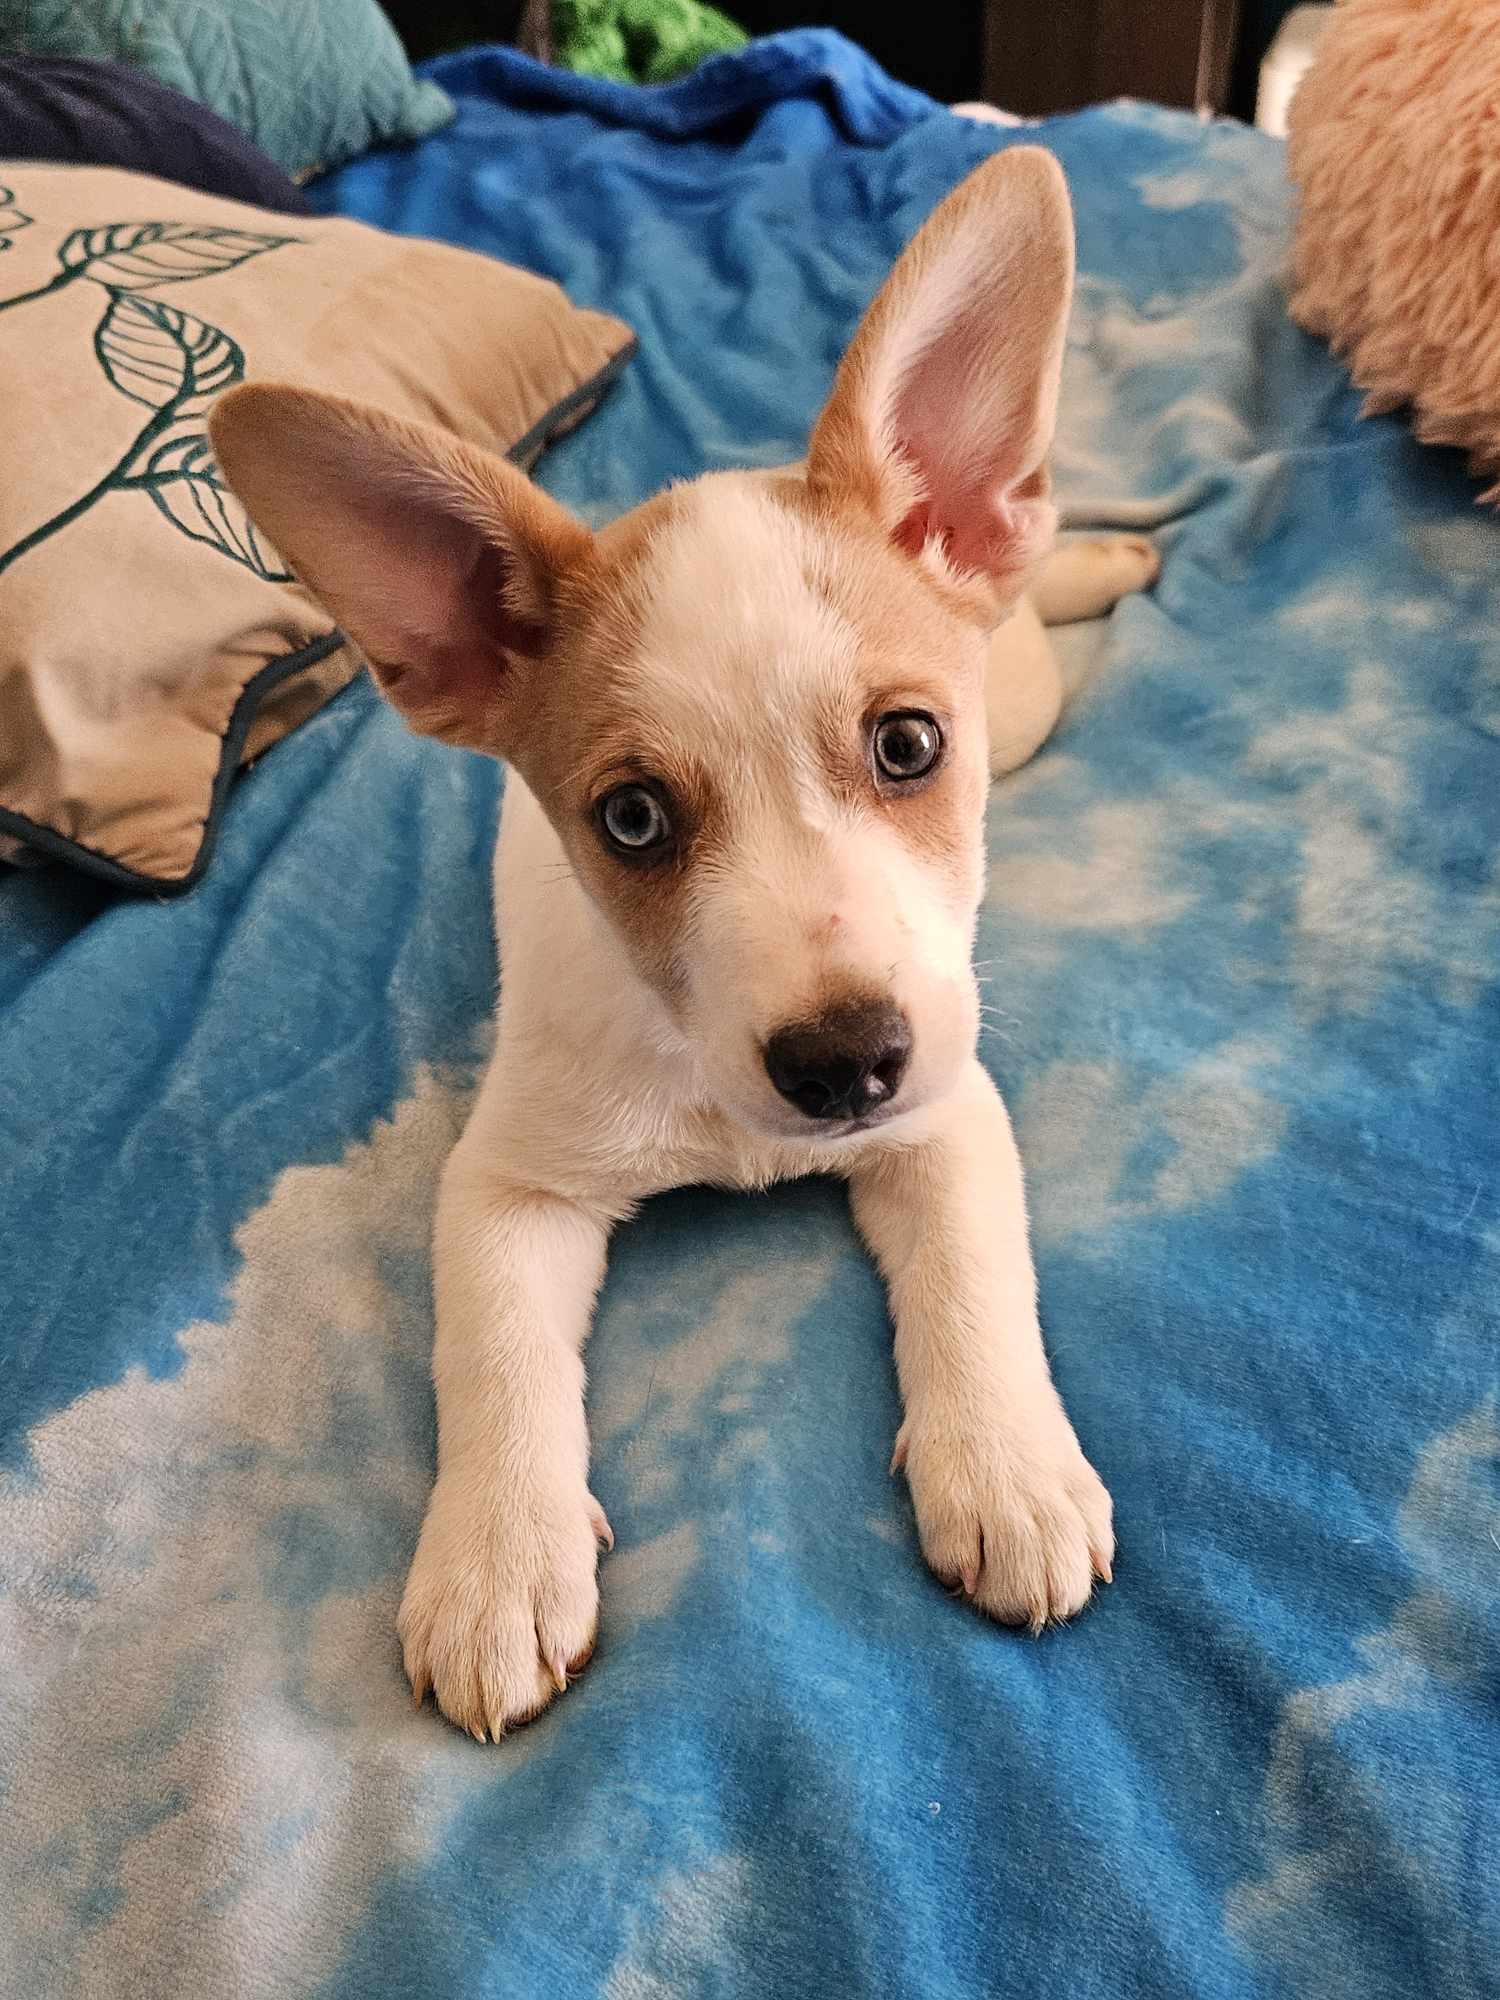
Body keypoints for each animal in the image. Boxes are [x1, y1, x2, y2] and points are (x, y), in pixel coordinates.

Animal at [210, 146, 1158, 1742]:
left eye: (909, 745)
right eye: (635, 818)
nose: (843, 1065)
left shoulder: (946, 1108)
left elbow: (977, 1282)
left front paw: (1009, 1467)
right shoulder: (509, 1184)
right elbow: (497, 1360)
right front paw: (496, 1558)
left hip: (1019, 698)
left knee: (1034, 593)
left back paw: (1098, 562)